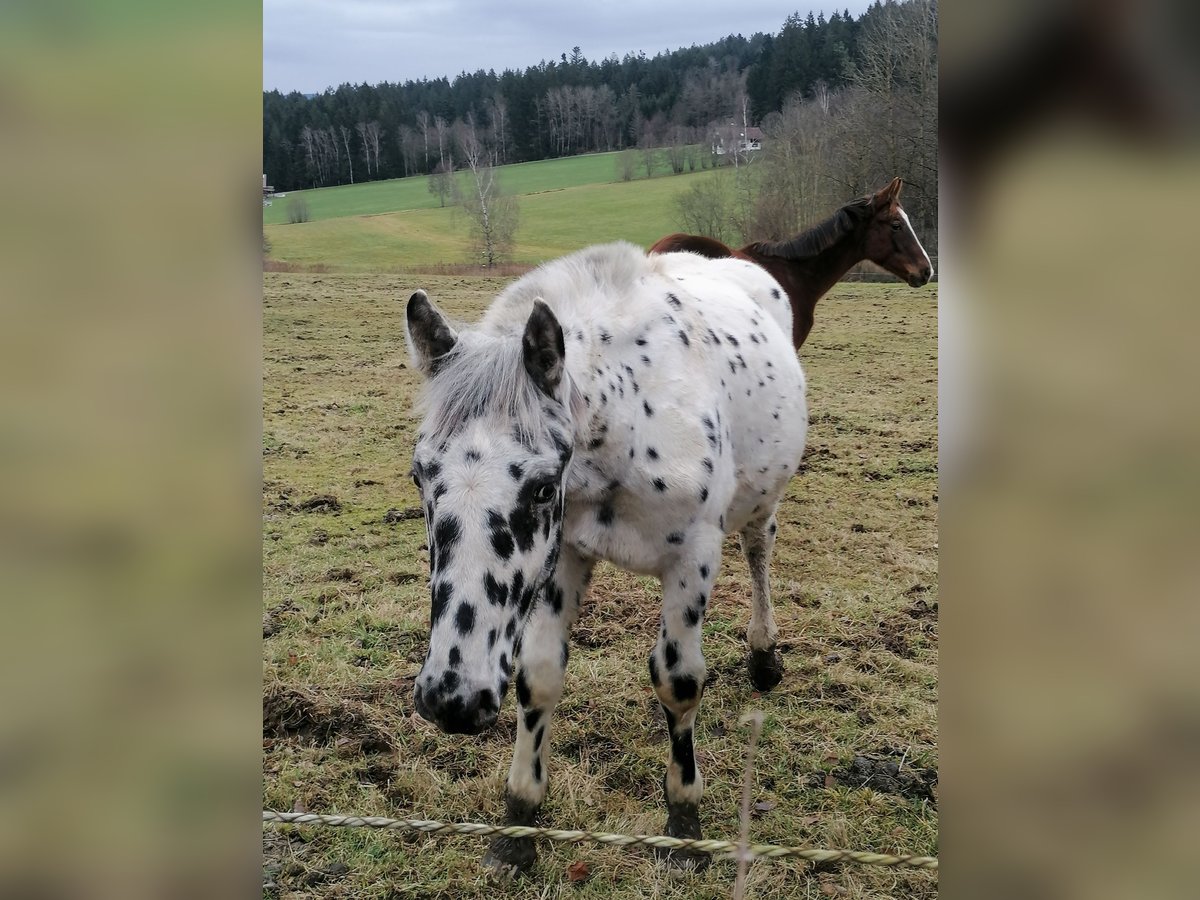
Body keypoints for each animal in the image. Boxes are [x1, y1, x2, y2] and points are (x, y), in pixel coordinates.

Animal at [403, 241, 806, 873]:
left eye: (544, 487)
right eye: (420, 475)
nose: (453, 700)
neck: (629, 423)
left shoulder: (693, 559)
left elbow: (678, 681)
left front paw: (685, 821)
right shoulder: (561, 557)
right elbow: (540, 677)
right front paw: (518, 824)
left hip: (762, 500)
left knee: (759, 550)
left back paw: (765, 657)